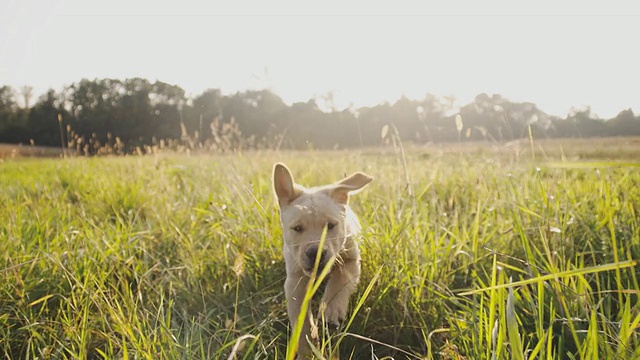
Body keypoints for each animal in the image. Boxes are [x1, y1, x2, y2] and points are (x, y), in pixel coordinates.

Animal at [272, 163, 372, 358]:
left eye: (331, 226)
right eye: (297, 228)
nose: (315, 252)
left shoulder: (350, 261)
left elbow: (339, 280)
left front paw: (331, 312)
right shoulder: (295, 280)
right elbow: (301, 319)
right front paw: (308, 350)